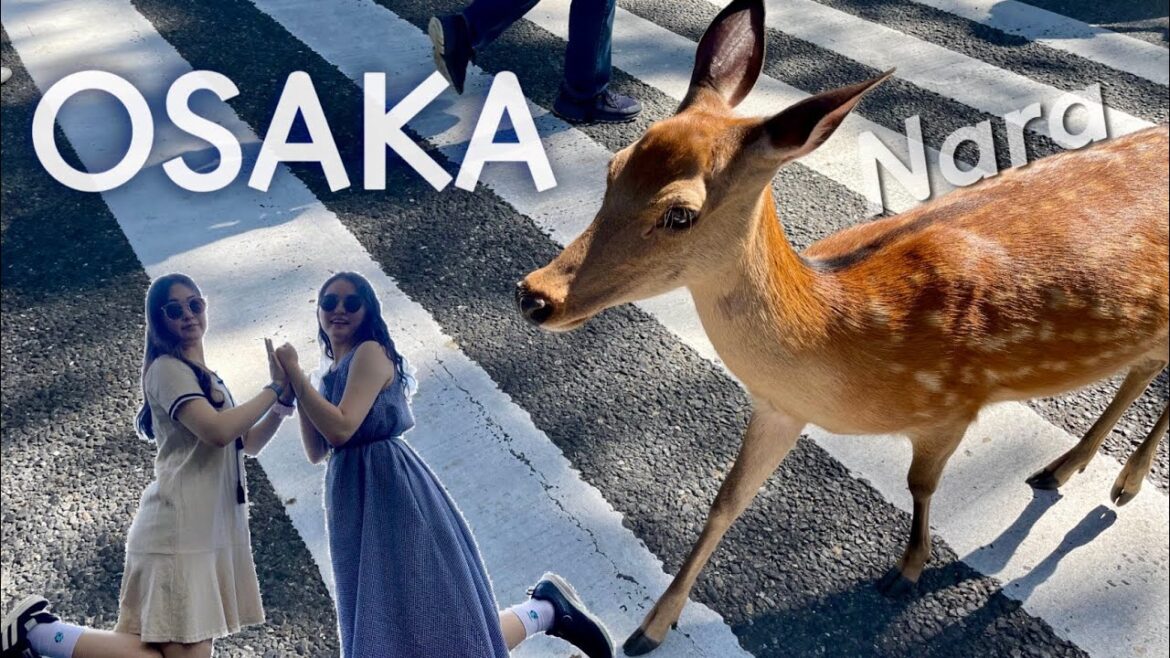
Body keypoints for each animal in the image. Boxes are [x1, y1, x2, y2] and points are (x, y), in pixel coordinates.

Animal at [514, 0, 1169, 653]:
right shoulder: (779, 406)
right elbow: (727, 500)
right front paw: (652, 625)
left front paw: (906, 572)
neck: (843, 342)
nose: (536, 295)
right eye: (614, 166)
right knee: (1143, 366)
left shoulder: (953, 404)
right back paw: (1062, 469)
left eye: (680, 213)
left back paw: (1124, 483)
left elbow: (920, 484)